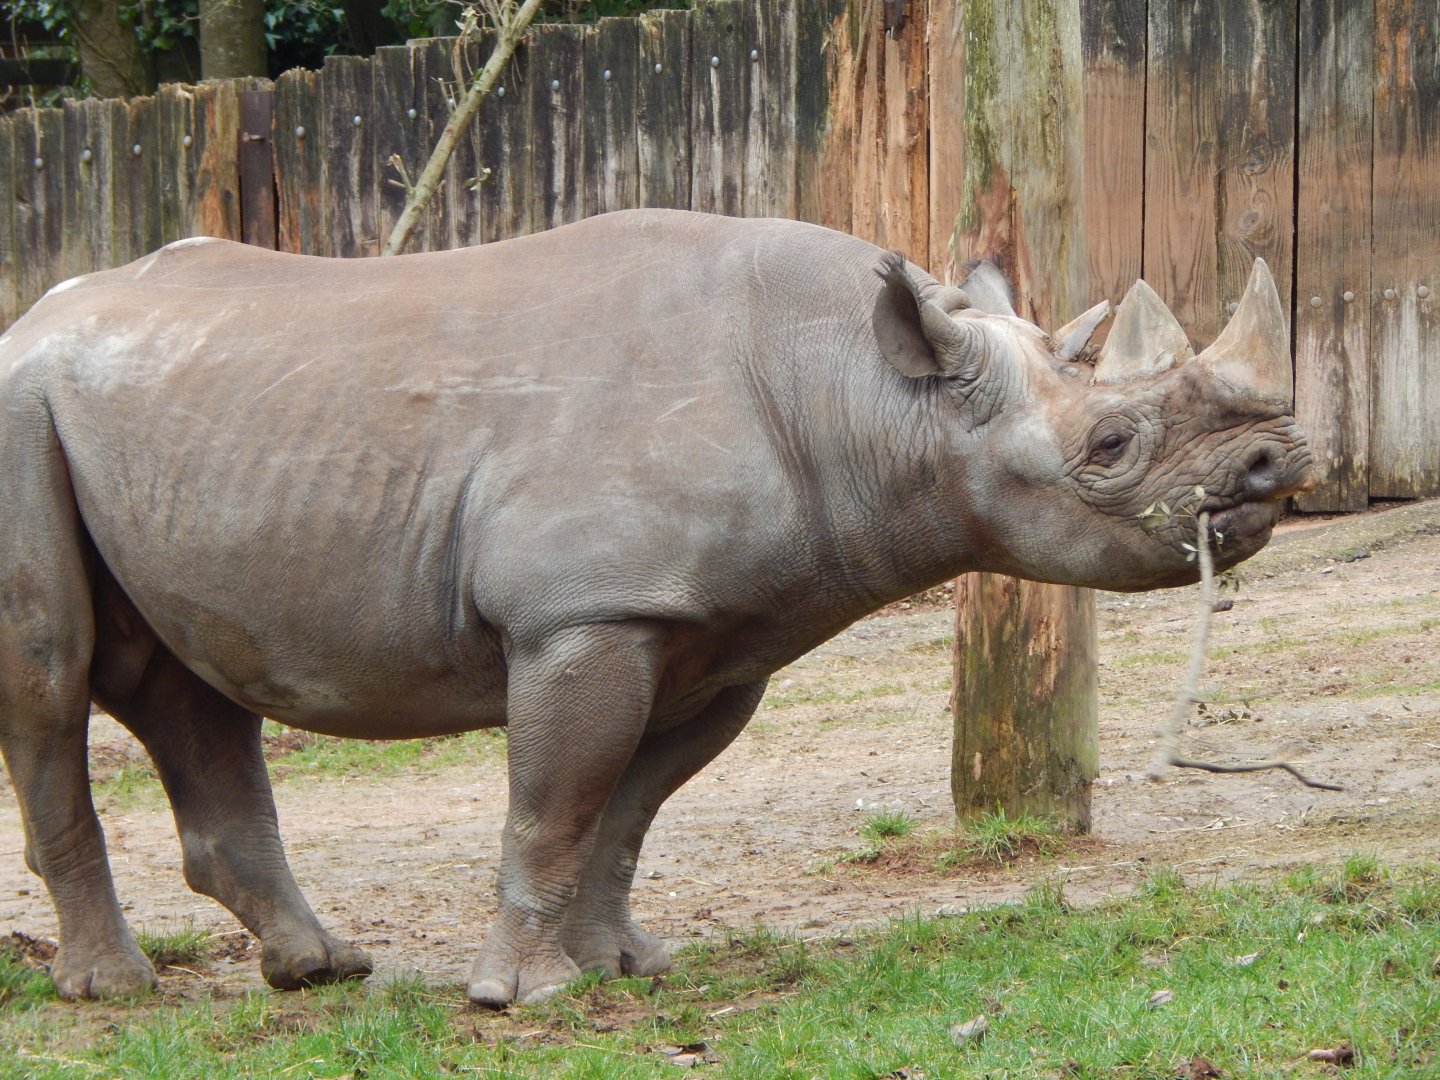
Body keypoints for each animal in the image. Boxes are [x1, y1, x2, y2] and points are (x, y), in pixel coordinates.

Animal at [0, 209, 1310, 1006]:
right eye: (1112, 445)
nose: (1276, 466)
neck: (866, 390)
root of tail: (35, 317)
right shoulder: (585, 614)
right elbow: (552, 803)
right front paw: (521, 996)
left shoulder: (715, 634)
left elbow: (624, 809)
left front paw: (626, 966)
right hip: (19, 406)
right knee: (49, 676)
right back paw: (113, 989)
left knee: (188, 682)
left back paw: (320, 970)